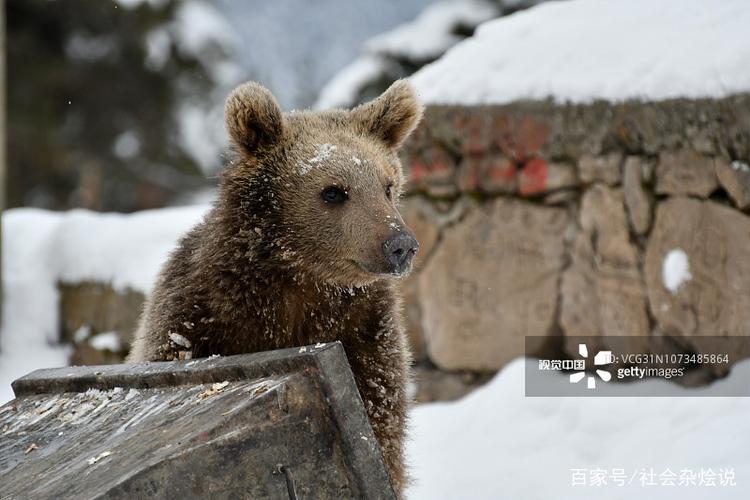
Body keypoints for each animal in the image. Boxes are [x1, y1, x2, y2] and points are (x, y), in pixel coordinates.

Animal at [127, 79, 423, 496]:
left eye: (387, 186)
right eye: (334, 191)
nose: (400, 245)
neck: (299, 283)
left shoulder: (368, 339)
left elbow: (382, 429)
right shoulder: (194, 315)